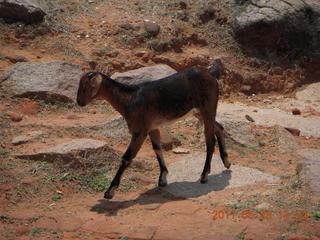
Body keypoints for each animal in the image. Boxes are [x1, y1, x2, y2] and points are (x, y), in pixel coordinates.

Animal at [76, 59, 231, 199]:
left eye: (85, 86)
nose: (79, 102)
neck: (129, 99)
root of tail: (211, 73)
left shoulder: (140, 131)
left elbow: (126, 158)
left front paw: (110, 191)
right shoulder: (152, 128)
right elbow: (157, 148)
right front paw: (162, 178)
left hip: (208, 107)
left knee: (210, 139)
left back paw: (204, 175)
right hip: (198, 112)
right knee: (219, 127)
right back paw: (226, 161)